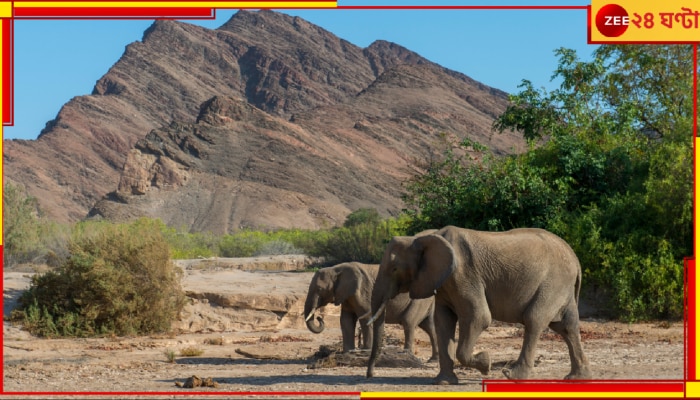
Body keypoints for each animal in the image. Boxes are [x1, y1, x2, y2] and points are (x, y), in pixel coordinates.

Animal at [302, 262, 438, 360]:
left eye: (320, 289)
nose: (319, 318)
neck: (336, 269)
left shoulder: (364, 291)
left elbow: (365, 318)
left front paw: (365, 351)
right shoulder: (346, 295)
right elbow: (346, 320)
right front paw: (347, 352)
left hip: (419, 300)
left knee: (408, 323)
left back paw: (406, 354)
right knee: (430, 326)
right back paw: (433, 360)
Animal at [366, 227, 592, 382]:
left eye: (394, 268)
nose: (370, 375)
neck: (423, 237)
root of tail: (575, 259)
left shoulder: (464, 276)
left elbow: (479, 317)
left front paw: (486, 363)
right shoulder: (444, 282)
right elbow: (443, 322)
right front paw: (444, 382)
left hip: (553, 283)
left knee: (534, 320)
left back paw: (512, 375)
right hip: (561, 287)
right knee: (566, 326)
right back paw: (577, 378)